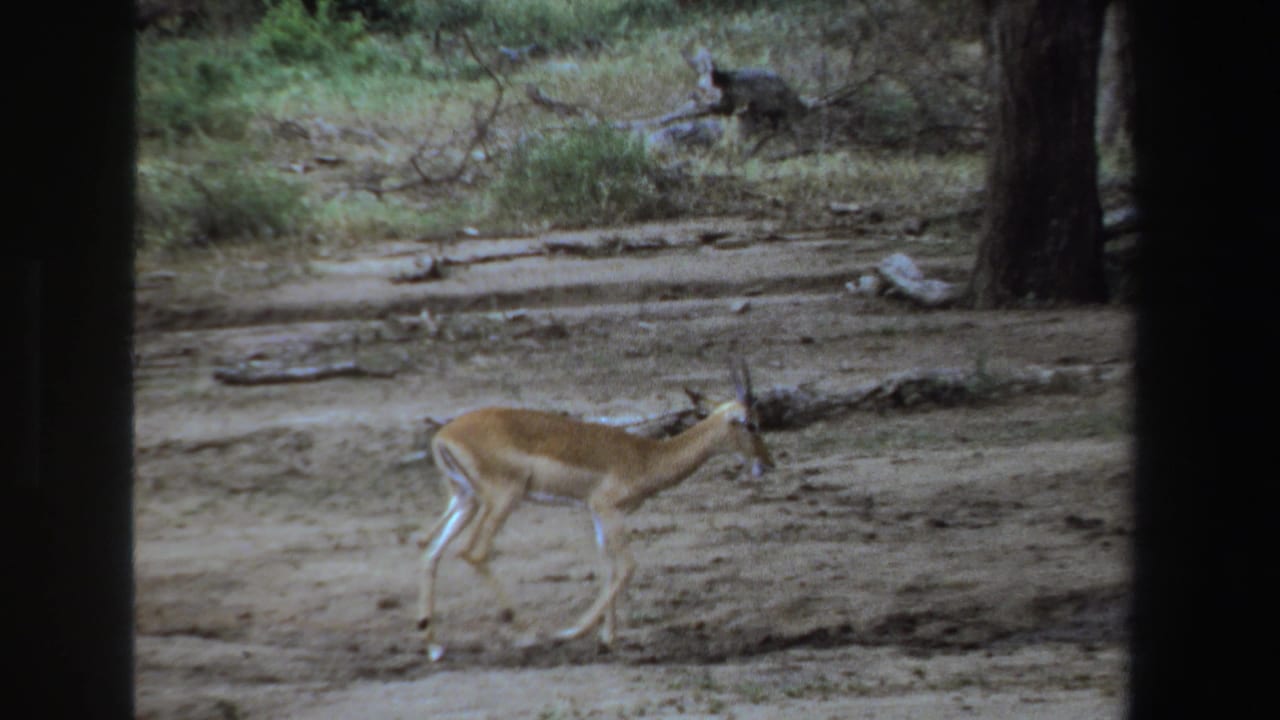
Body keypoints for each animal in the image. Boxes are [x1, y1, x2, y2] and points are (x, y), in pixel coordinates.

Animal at [416, 362, 774, 661]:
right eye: (752, 424)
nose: (768, 464)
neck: (647, 457)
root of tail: (444, 436)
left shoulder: (597, 512)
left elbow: (608, 566)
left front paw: (606, 639)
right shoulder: (608, 508)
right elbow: (627, 566)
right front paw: (574, 632)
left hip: (466, 500)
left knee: (432, 552)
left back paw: (434, 645)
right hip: (503, 500)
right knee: (473, 552)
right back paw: (530, 632)